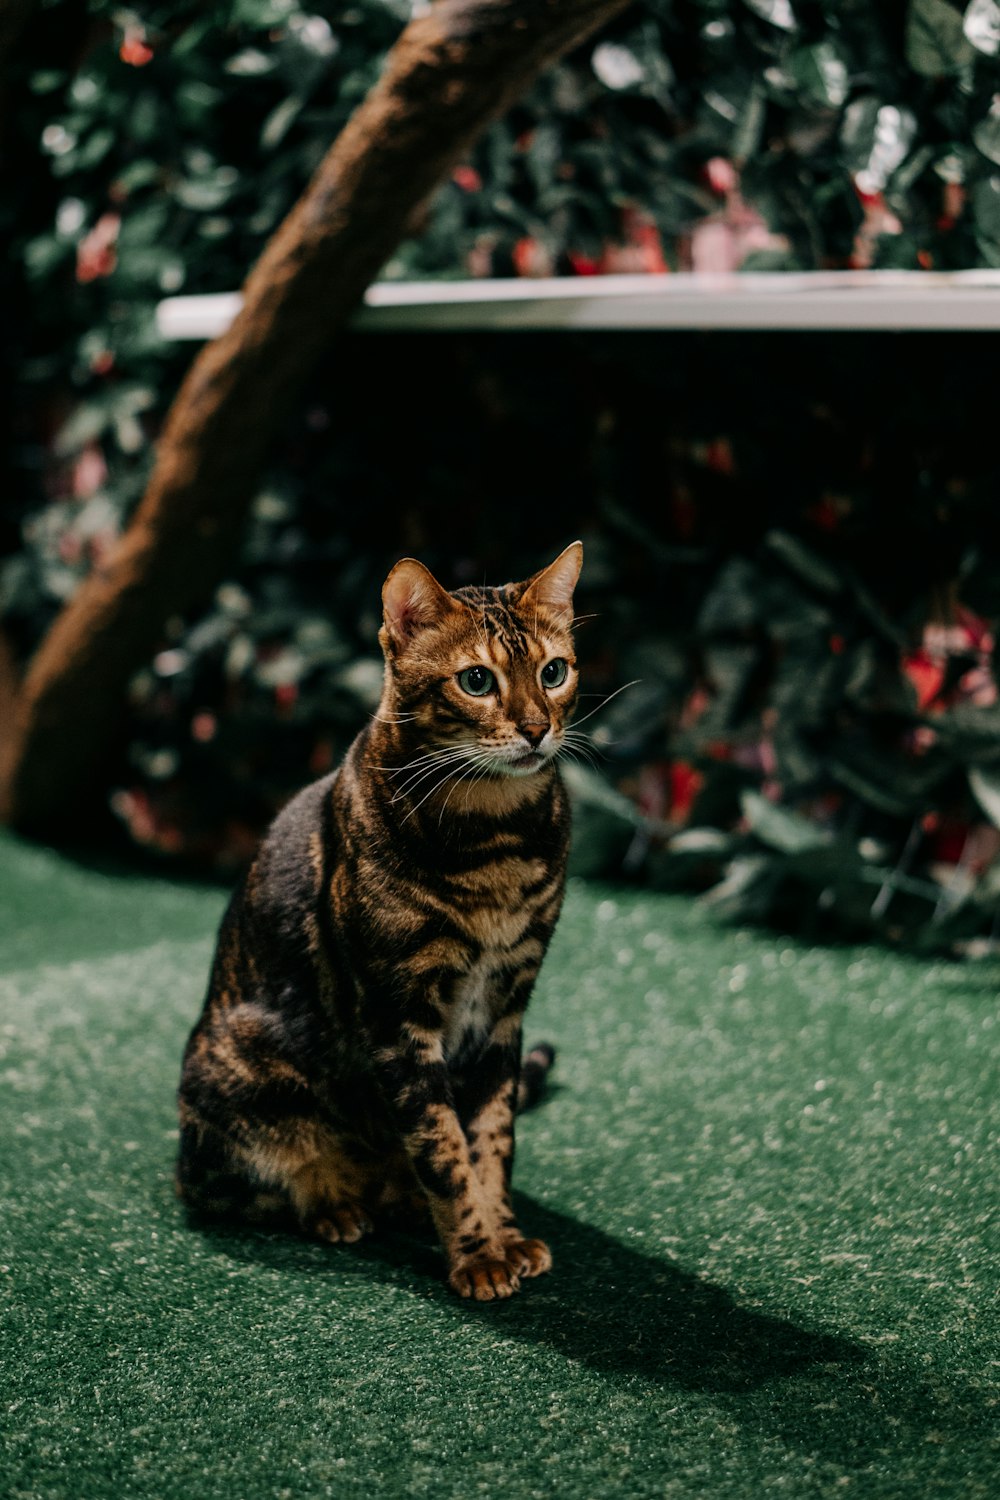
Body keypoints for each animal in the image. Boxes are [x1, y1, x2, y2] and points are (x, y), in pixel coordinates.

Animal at [177, 543, 587, 1302]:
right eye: (477, 680)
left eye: (554, 671)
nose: (537, 727)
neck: (497, 842)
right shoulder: (398, 1012)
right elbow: (442, 1147)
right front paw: (478, 1256)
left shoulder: (506, 1006)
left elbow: (490, 1139)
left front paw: (504, 1235)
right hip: (237, 1069)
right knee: (226, 1187)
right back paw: (334, 1203)